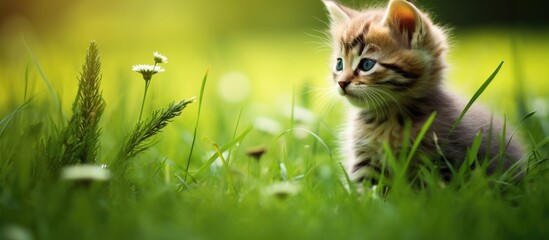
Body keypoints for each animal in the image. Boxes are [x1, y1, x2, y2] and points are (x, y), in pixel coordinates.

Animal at [322, 0, 524, 182]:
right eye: (339, 64)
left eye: (366, 64)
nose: (341, 83)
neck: (388, 117)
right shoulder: (365, 159)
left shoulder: (440, 158)